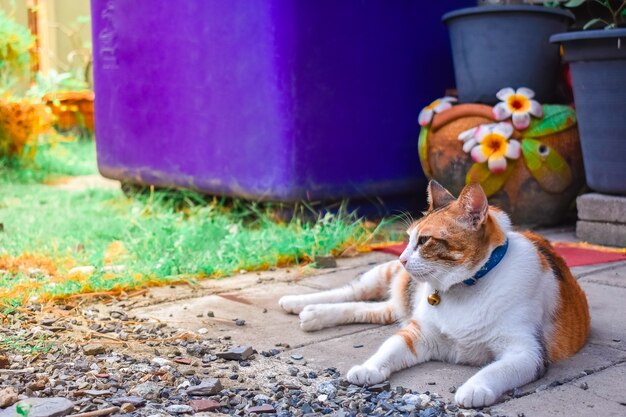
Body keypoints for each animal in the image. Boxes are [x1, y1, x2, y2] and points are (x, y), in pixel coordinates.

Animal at [280, 180, 588, 404]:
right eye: (407, 239)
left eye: (425, 240)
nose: (402, 258)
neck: (466, 288)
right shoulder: (419, 333)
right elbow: (388, 349)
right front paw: (369, 368)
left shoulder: (527, 352)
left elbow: (498, 369)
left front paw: (473, 389)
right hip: (383, 276)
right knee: (351, 291)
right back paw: (297, 302)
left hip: (393, 305)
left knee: (368, 309)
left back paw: (313, 315)